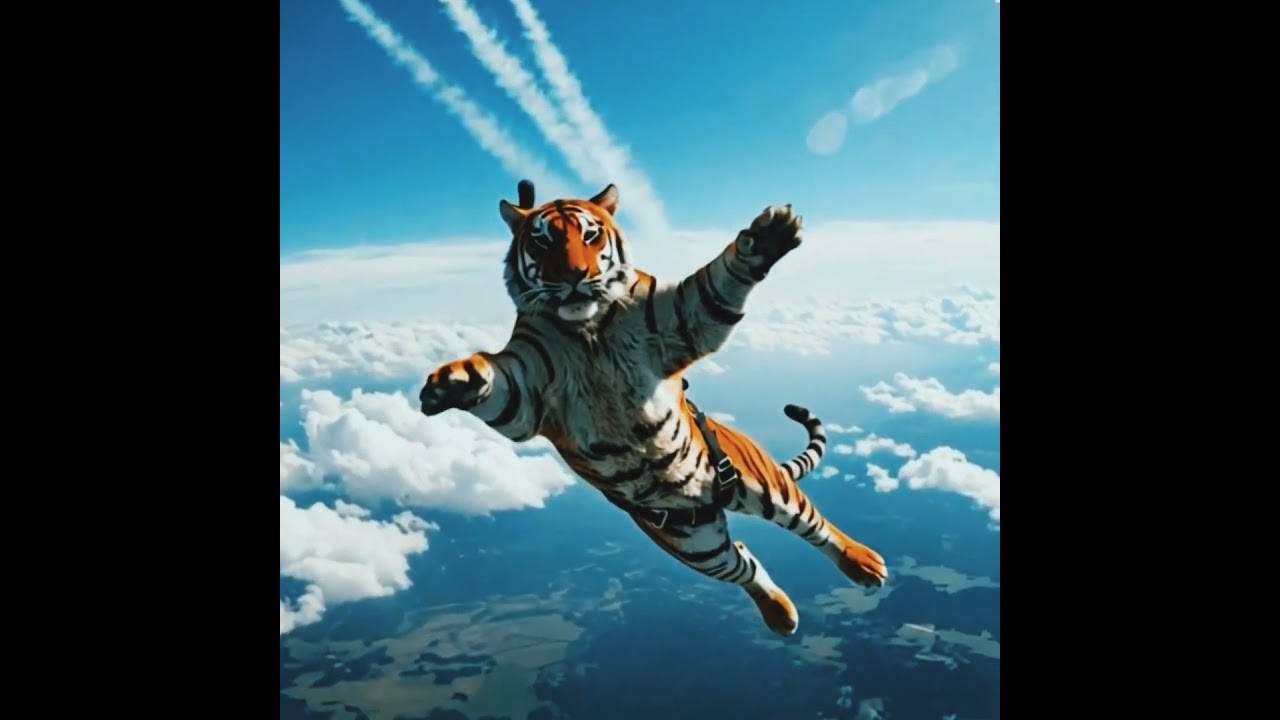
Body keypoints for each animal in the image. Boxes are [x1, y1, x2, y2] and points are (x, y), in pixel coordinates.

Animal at [419, 180, 887, 636]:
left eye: (590, 235)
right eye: (543, 242)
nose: (575, 277)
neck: (586, 329)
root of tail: (713, 500)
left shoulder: (682, 321)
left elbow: (714, 284)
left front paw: (768, 237)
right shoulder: (527, 390)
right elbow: (495, 381)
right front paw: (452, 382)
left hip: (764, 487)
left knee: (815, 525)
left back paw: (865, 564)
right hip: (698, 545)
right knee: (741, 560)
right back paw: (781, 615)